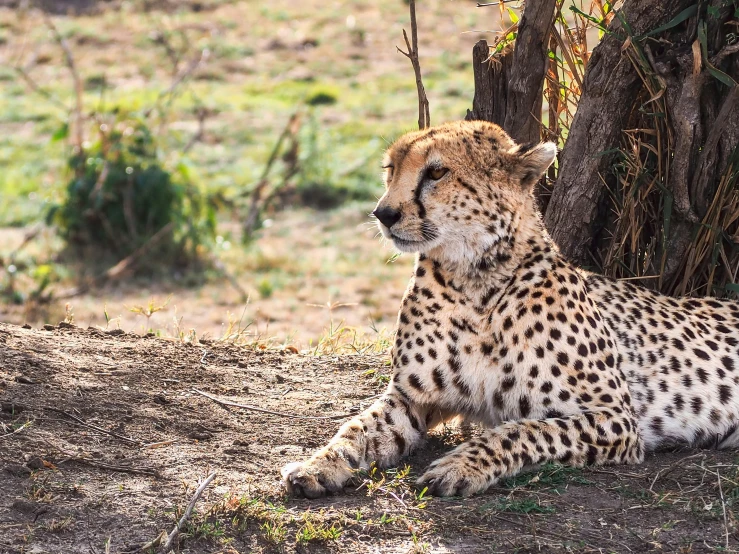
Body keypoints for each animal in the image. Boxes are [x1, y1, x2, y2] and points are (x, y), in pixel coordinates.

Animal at [280, 119, 739, 496]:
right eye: (390, 169)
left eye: (436, 172)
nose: (384, 213)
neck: (474, 279)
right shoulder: (411, 397)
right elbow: (355, 429)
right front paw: (317, 465)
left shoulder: (615, 417)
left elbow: (521, 430)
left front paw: (459, 466)